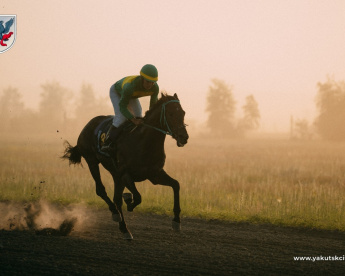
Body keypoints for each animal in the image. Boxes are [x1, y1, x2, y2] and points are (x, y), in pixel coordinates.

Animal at [61, 92, 188, 239]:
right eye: (171, 114)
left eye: (183, 113)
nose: (184, 137)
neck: (143, 142)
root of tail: (88, 125)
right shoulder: (125, 174)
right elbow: (137, 197)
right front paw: (129, 200)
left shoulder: (155, 174)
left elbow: (176, 185)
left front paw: (177, 221)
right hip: (92, 161)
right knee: (101, 190)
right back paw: (116, 214)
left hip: (115, 174)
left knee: (116, 199)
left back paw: (124, 228)